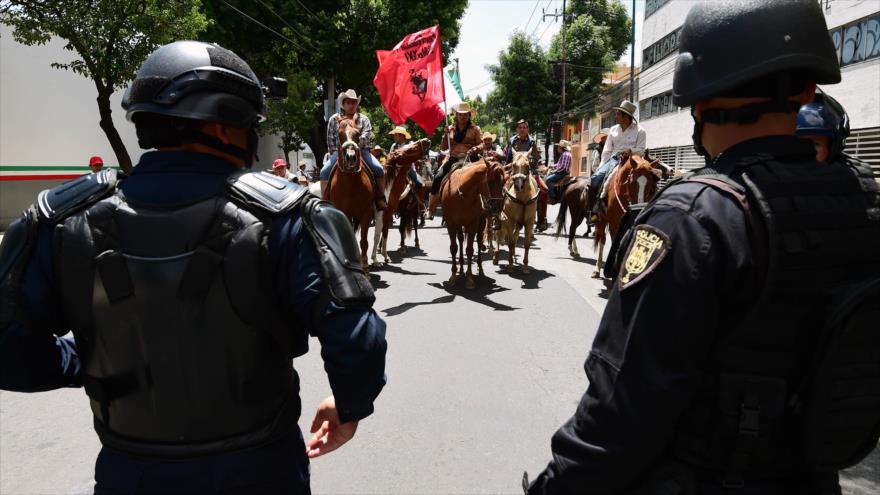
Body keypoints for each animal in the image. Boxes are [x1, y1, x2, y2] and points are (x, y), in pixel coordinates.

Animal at [324, 116, 384, 270]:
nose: (350, 157)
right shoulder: (343, 213)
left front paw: (365, 265)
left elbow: (364, 241)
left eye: (357, 134)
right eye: (339, 134)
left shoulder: (366, 214)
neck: (350, 183)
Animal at [592, 152, 660, 280]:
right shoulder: (614, 222)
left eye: (650, 184)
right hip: (602, 220)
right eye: (632, 182)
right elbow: (615, 241)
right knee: (602, 240)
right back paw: (597, 268)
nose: (639, 207)